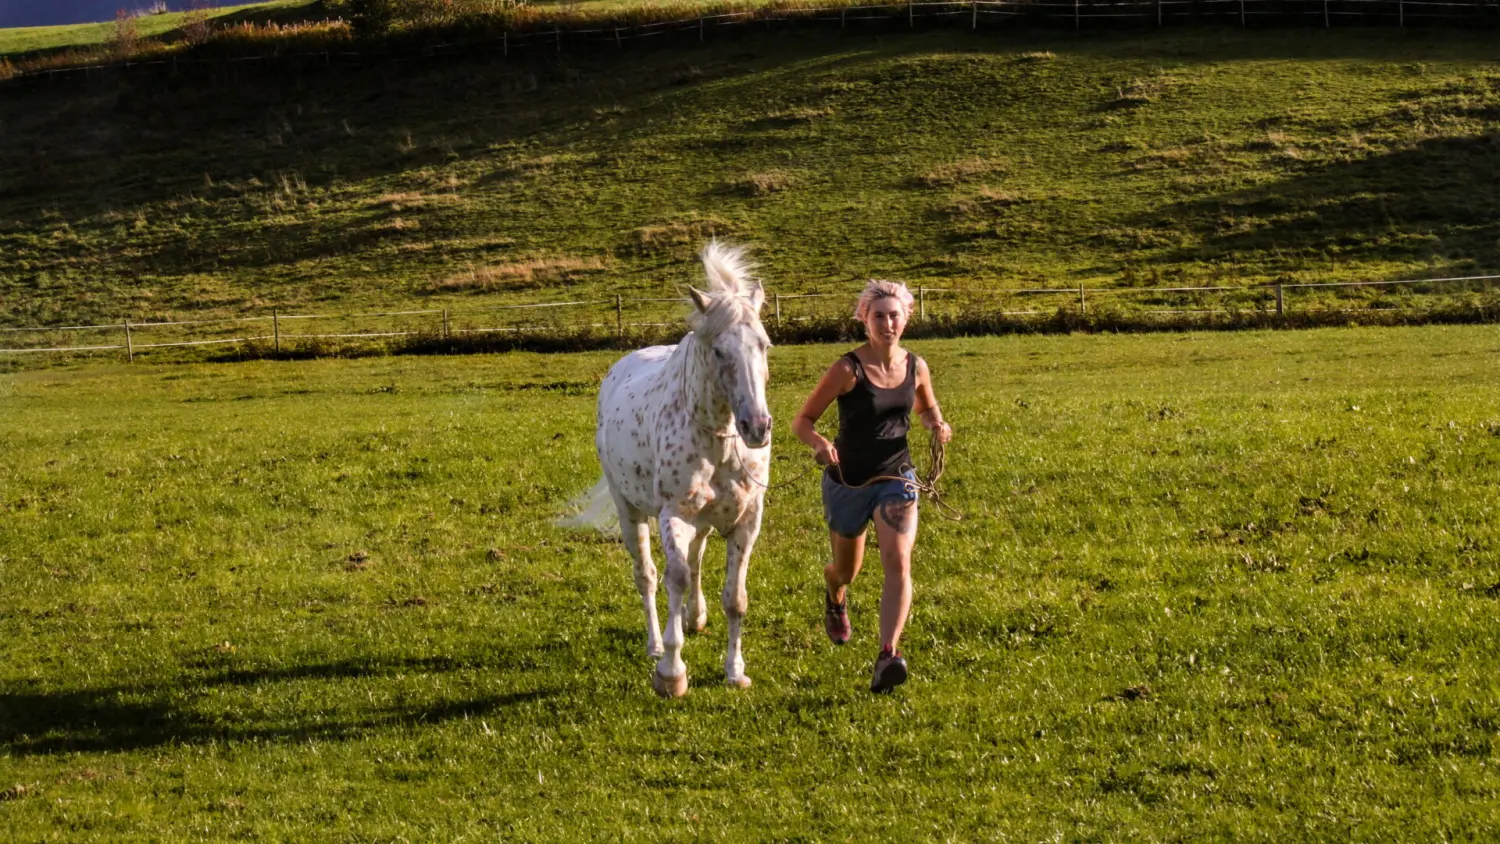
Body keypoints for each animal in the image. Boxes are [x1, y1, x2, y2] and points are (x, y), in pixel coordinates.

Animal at [564, 241, 768, 695]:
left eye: (764, 345)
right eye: (719, 351)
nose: (757, 427)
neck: (718, 441)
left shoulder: (746, 520)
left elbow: (735, 598)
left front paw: (735, 671)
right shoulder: (673, 515)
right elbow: (672, 578)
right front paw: (671, 672)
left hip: (704, 521)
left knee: (695, 561)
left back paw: (696, 617)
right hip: (631, 512)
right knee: (647, 574)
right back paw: (656, 644)